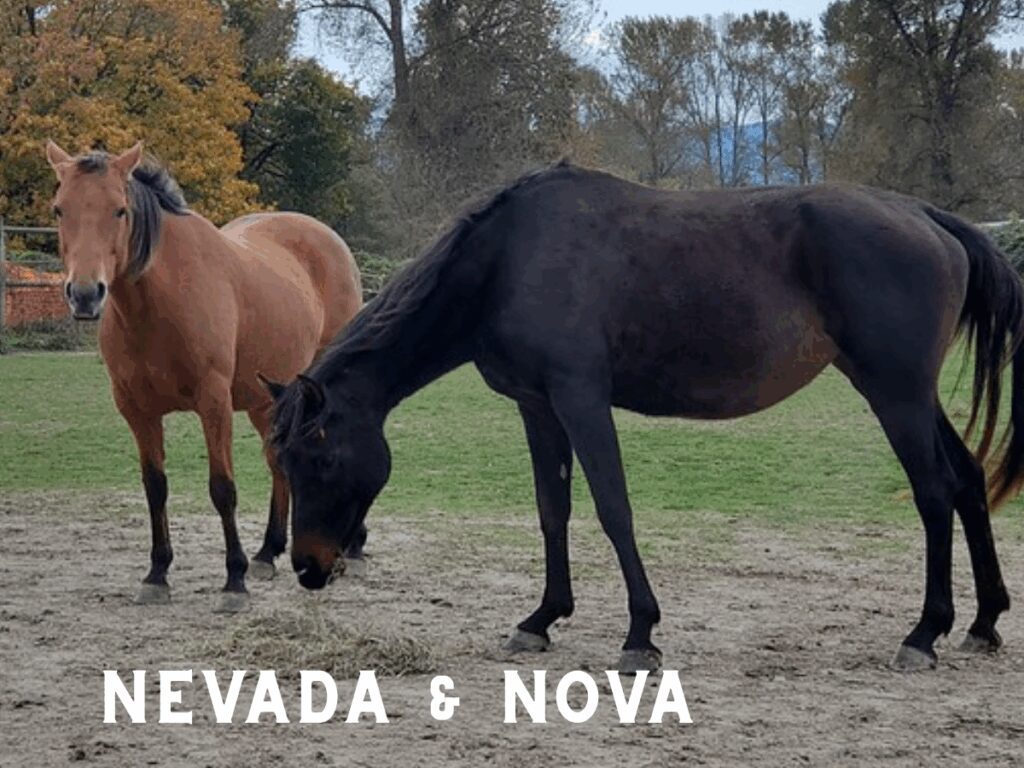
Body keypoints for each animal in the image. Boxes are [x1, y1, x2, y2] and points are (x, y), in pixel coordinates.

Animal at [45, 140, 364, 612]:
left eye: (120, 210)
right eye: (59, 209)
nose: (85, 295)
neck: (161, 300)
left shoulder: (213, 402)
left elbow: (222, 488)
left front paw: (234, 580)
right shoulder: (136, 410)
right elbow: (155, 487)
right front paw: (157, 574)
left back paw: (350, 550)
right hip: (266, 400)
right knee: (279, 462)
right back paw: (268, 552)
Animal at [265, 161, 1024, 672]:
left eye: (322, 455)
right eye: (286, 461)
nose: (307, 566)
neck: (508, 262)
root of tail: (927, 217)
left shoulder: (580, 399)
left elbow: (613, 509)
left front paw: (640, 634)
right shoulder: (537, 408)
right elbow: (553, 510)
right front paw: (542, 618)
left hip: (896, 394)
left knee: (933, 493)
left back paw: (924, 632)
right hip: (911, 396)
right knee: (966, 481)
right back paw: (983, 621)